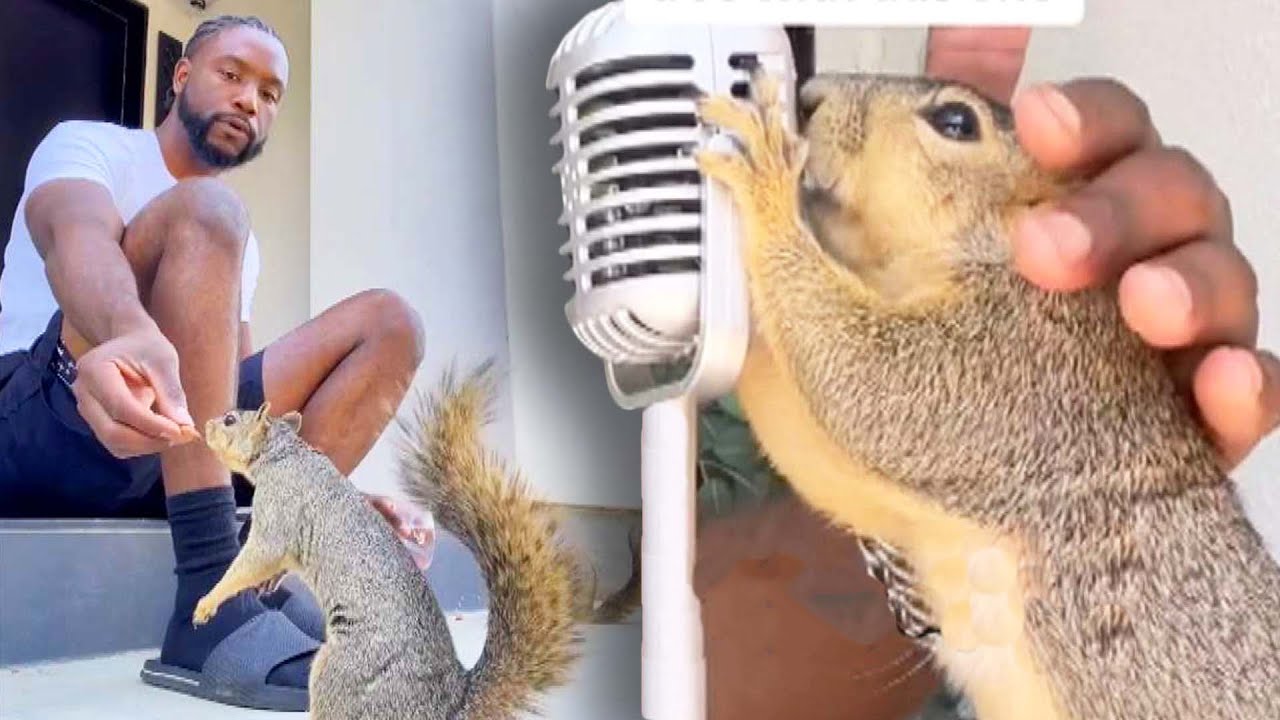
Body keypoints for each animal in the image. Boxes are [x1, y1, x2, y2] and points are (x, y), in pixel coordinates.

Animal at [195, 360, 639, 719]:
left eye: (231, 420)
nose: (206, 425)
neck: (283, 454)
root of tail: (447, 706)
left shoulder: (280, 508)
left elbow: (257, 557)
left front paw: (209, 602)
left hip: (340, 672)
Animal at [693, 68, 1280, 720]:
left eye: (955, 122)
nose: (809, 96)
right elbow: (810, 439)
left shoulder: (1026, 364)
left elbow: (874, 385)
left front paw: (769, 174)